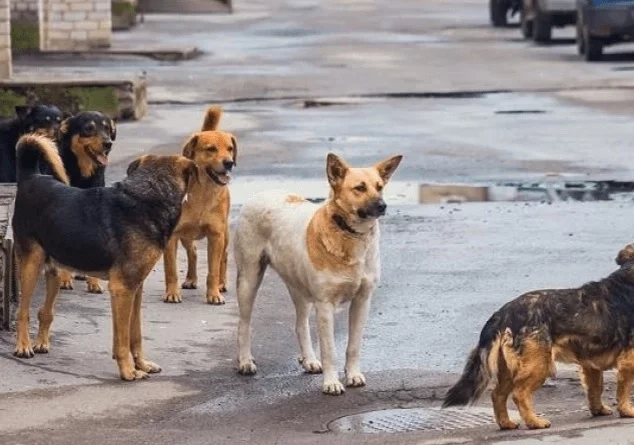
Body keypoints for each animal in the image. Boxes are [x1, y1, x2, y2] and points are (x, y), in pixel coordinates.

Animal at [11, 134, 195, 380]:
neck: (148, 196)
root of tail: (31, 177)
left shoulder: (135, 288)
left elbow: (135, 334)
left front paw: (142, 364)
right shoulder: (122, 289)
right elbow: (122, 339)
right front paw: (128, 370)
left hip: (55, 270)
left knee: (45, 311)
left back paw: (41, 342)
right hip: (31, 264)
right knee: (23, 312)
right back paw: (23, 346)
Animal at [54, 109, 117, 294]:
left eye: (107, 129)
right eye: (89, 128)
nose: (108, 143)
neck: (83, 175)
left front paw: (94, 283)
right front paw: (65, 279)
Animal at [162, 106, 236, 304]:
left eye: (230, 149)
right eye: (211, 149)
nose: (229, 163)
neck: (203, 193)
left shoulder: (216, 236)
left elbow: (213, 271)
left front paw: (214, 294)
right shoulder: (172, 237)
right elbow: (171, 270)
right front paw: (172, 293)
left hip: (224, 234)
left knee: (224, 257)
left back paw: (221, 284)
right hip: (186, 235)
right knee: (193, 252)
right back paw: (191, 279)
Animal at [232, 152, 400, 392]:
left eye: (380, 187)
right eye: (359, 188)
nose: (382, 206)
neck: (349, 234)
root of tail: (261, 193)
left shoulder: (362, 301)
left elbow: (354, 345)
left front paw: (353, 375)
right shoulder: (325, 305)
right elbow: (329, 350)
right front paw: (331, 382)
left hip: (299, 288)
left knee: (300, 325)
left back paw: (309, 360)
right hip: (249, 279)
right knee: (244, 324)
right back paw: (245, 361)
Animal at [442, 243, 634, 430]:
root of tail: (503, 314)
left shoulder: (590, 364)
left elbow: (595, 389)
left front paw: (598, 410)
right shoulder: (627, 361)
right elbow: (624, 390)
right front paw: (626, 410)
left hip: (509, 369)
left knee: (497, 395)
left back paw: (506, 423)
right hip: (540, 365)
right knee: (519, 394)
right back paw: (534, 422)